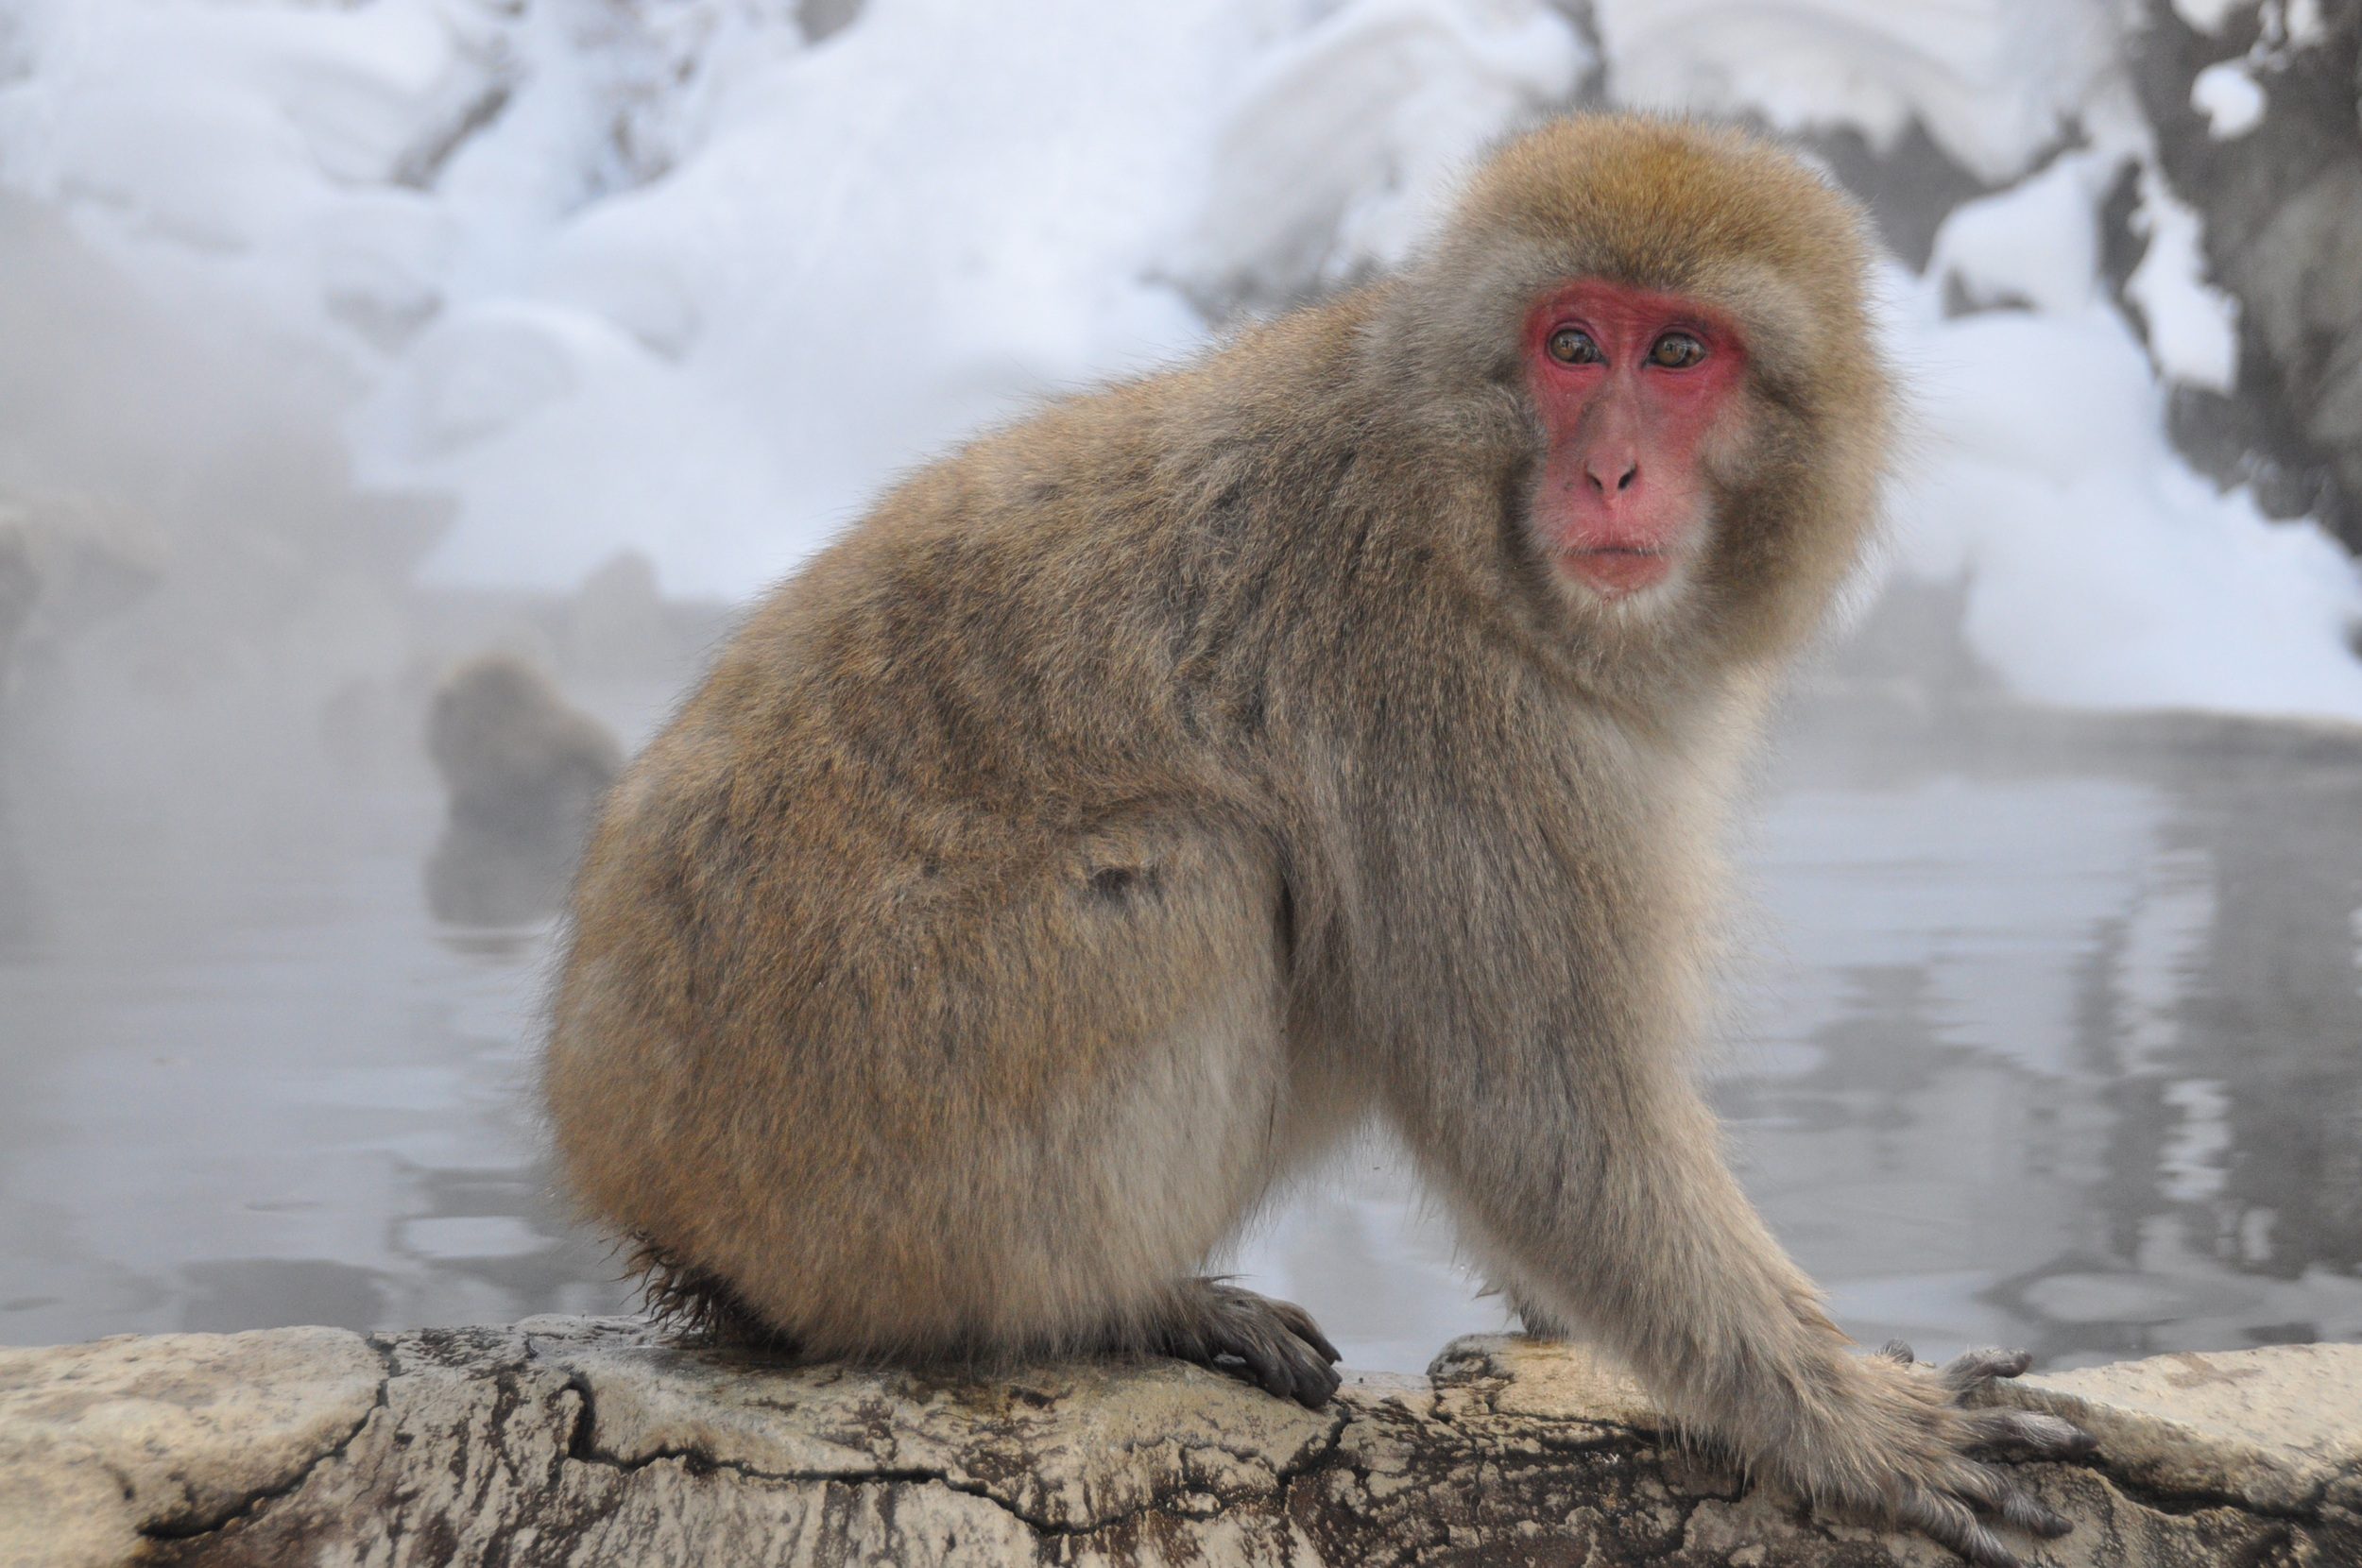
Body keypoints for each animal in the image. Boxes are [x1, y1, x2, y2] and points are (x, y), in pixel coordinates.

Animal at [543, 116, 2097, 1559]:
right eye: (1571, 346)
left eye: (1677, 354)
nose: (1610, 473)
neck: (1470, 520)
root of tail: (629, 1161)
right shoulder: (1438, 696)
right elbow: (1537, 1103)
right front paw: (1854, 1424)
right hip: (865, 1131)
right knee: (1196, 878)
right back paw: (1110, 1304)